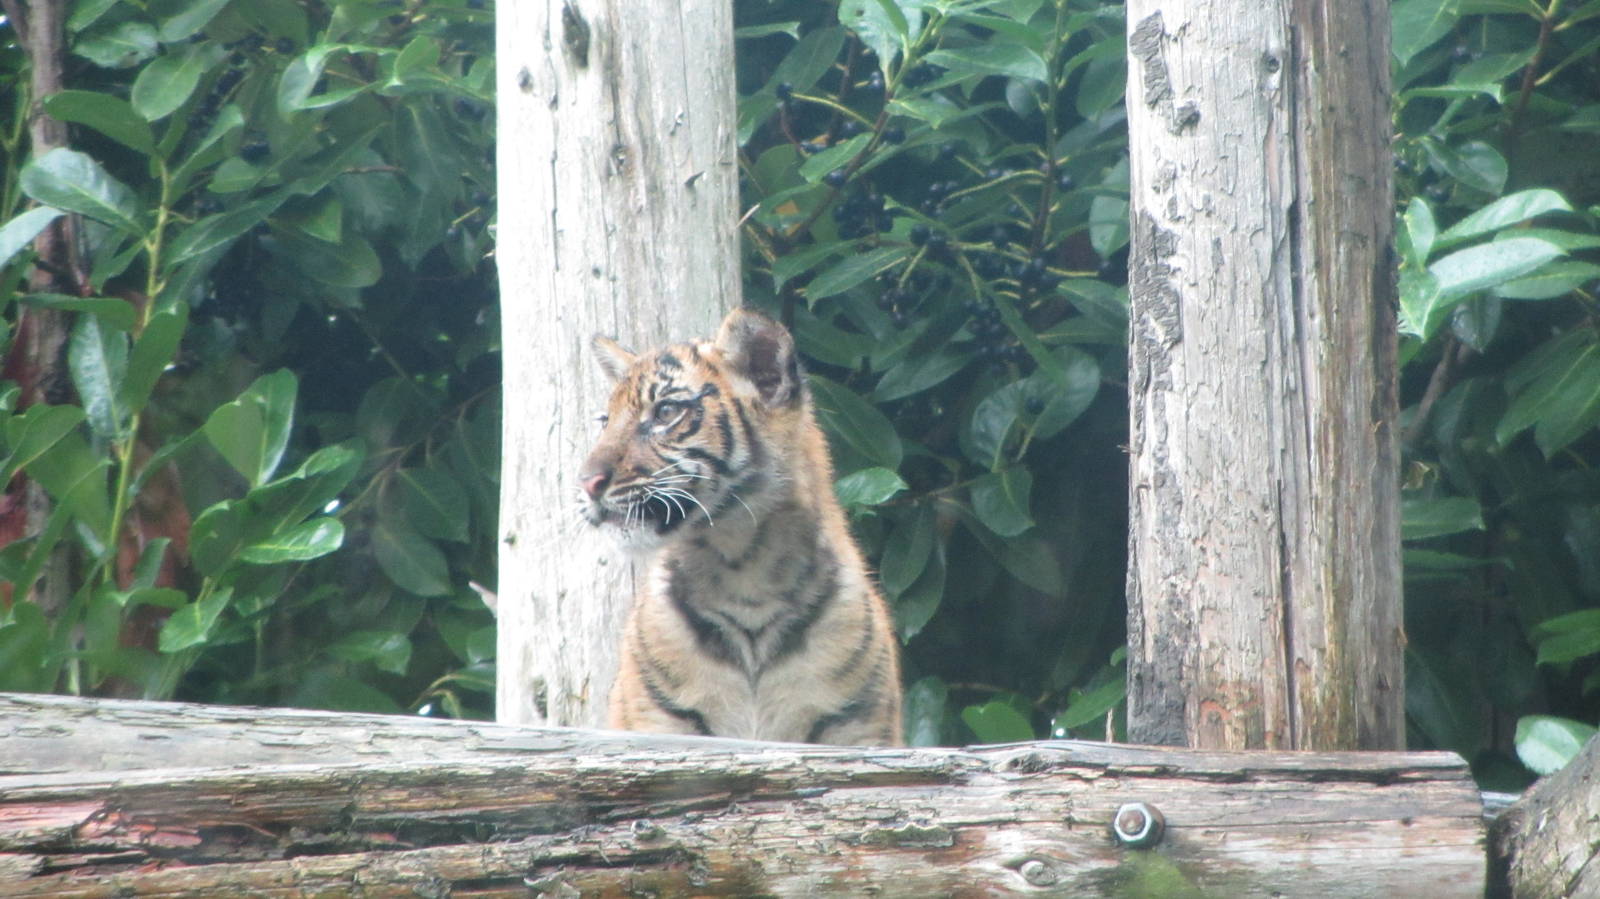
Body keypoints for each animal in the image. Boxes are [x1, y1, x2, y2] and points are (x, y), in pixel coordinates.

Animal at [578, 308, 903, 746]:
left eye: (665, 413)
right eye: (605, 421)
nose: (587, 482)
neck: (746, 573)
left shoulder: (858, 732)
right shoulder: (659, 727)